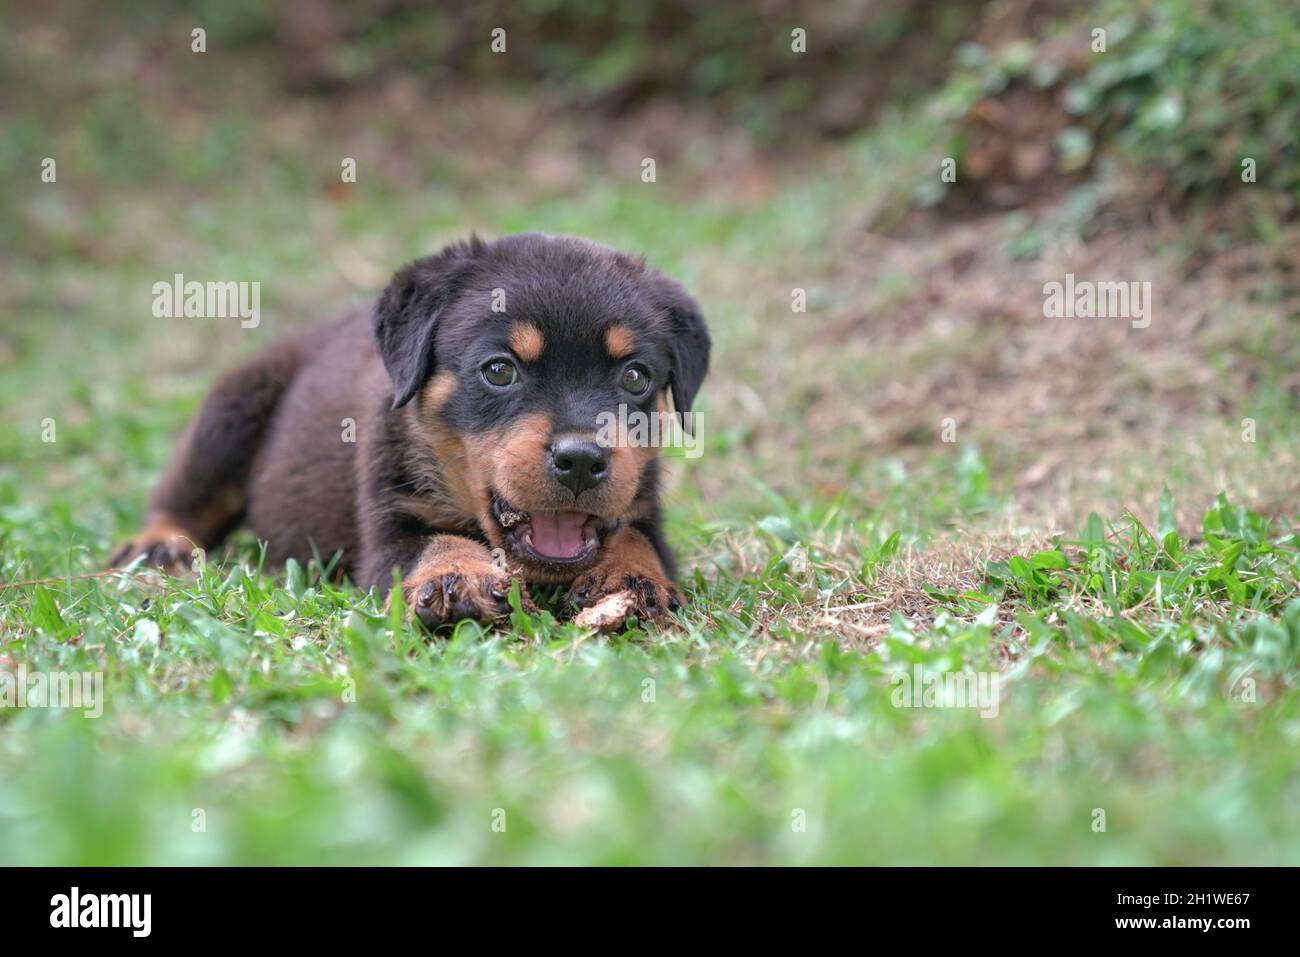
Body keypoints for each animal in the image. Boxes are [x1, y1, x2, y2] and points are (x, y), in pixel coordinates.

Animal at [110, 235, 712, 631]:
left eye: (635, 377)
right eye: (499, 370)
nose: (582, 459)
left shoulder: (642, 505)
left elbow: (637, 539)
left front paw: (630, 578)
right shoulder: (386, 521)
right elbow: (430, 541)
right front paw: (456, 576)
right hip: (231, 408)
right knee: (184, 494)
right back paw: (158, 545)